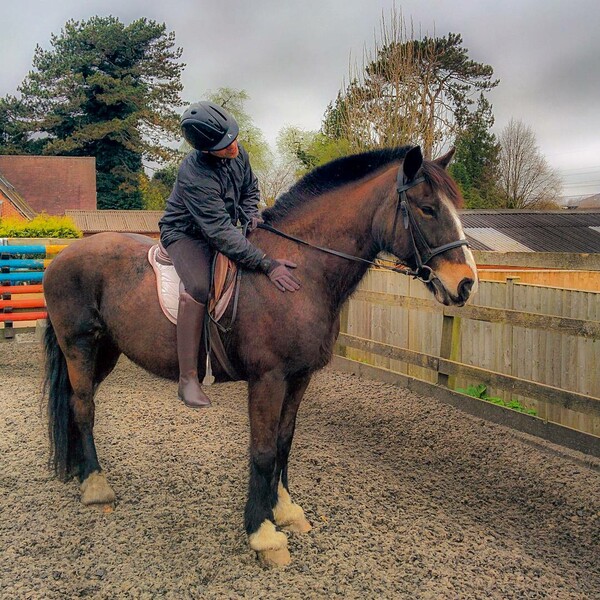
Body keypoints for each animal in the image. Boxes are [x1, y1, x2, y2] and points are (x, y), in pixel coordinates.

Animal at [42, 145, 478, 568]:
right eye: (427, 208)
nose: (465, 284)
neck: (300, 272)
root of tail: (62, 256)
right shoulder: (268, 379)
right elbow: (264, 449)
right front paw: (263, 533)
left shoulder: (299, 377)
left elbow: (284, 441)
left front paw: (284, 510)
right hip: (79, 346)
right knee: (83, 408)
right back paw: (96, 486)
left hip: (104, 352)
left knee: (76, 404)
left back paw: (80, 473)